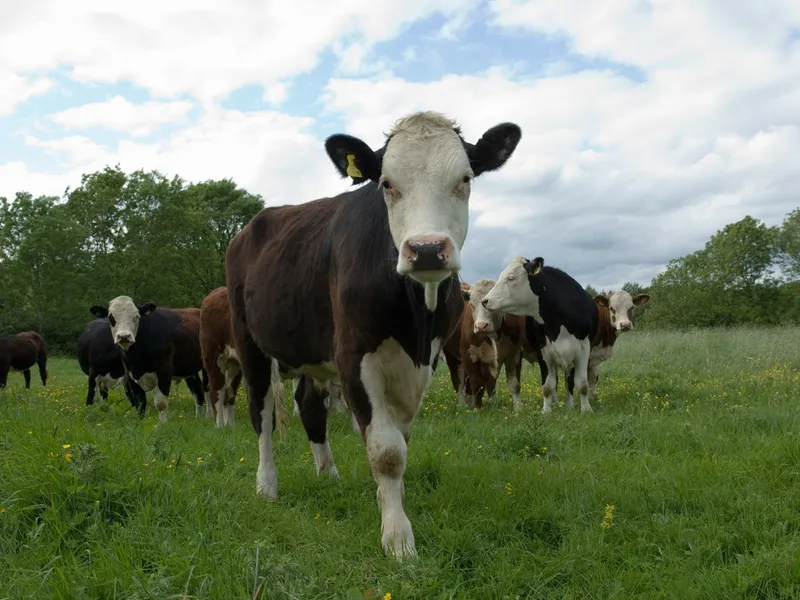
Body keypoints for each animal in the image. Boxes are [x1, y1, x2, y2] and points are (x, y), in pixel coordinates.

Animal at [227, 110, 524, 560]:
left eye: (465, 178)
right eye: (386, 183)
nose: (427, 249)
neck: (414, 313)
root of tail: (251, 226)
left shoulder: (423, 362)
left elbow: (399, 440)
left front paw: (390, 503)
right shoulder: (353, 358)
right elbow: (385, 451)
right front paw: (398, 539)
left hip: (312, 351)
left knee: (310, 408)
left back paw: (327, 474)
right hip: (251, 343)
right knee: (261, 415)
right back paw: (267, 486)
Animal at [482, 258, 600, 418]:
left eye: (511, 278)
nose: (485, 301)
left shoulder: (583, 350)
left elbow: (582, 384)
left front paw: (586, 410)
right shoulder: (543, 351)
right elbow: (548, 385)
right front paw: (546, 411)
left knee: (569, 381)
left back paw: (569, 405)